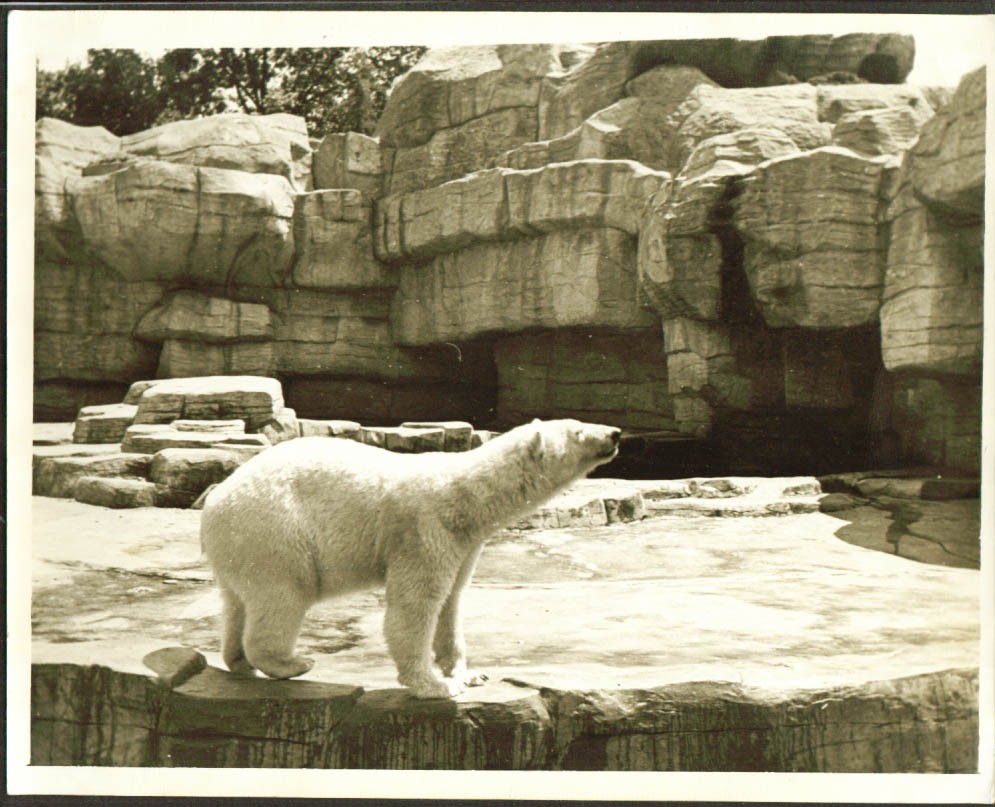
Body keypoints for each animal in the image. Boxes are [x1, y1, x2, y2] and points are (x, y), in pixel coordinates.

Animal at [199, 418, 621, 699]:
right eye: (579, 431)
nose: (616, 433)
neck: (469, 497)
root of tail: (214, 500)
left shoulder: (465, 544)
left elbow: (452, 601)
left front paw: (468, 673)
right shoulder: (425, 530)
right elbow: (416, 605)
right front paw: (434, 685)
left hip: (241, 546)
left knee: (237, 602)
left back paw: (239, 660)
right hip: (275, 532)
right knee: (283, 595)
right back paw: (292, 663)